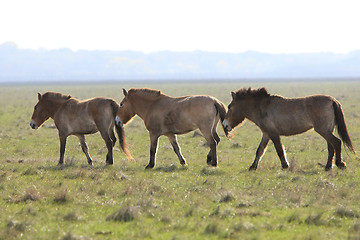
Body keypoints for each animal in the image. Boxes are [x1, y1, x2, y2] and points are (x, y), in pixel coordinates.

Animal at [222, 87, 354, 171]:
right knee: (331, 146)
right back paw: (328, 167)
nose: (224, 124)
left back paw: (340, 164)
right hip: (326, 130)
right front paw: (253, 167)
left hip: (323, 130)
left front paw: (285, 165)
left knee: (336, 142)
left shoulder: (273, 133)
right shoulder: (266, 134)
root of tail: (333, 100)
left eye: (230, 107)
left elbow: (279, 150)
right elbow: (259, 150)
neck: (262, 107)